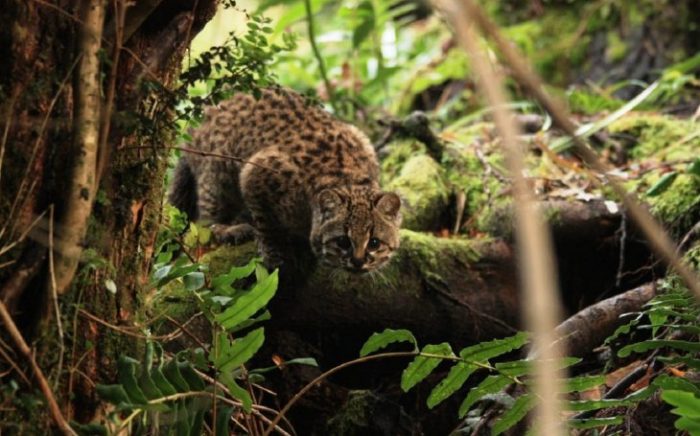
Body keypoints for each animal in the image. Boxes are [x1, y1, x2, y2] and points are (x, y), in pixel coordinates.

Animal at [167, 87, 402, 274]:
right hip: (217, 175)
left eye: (374, 243)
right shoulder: (256, 171)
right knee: (204, 225)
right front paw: (274, 254)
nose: (358, 261)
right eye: (343, 241)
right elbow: (267, 223)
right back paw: (228, 230)